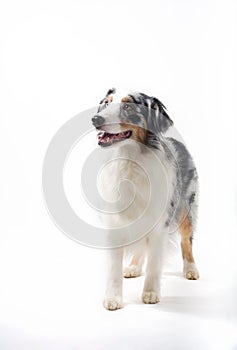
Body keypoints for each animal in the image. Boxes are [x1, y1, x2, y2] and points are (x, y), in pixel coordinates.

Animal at [91, 89, 199, 310]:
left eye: (128, 107)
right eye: (106, 103)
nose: (95, 119)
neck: (129, 160)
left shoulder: (160, 223)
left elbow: (154, 262)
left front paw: (150, 293)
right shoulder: (114, 224)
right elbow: (113, 268)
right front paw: (113, 298)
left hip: (186, 206)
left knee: (186, 240)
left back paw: (191, 269)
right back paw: (133, 267)